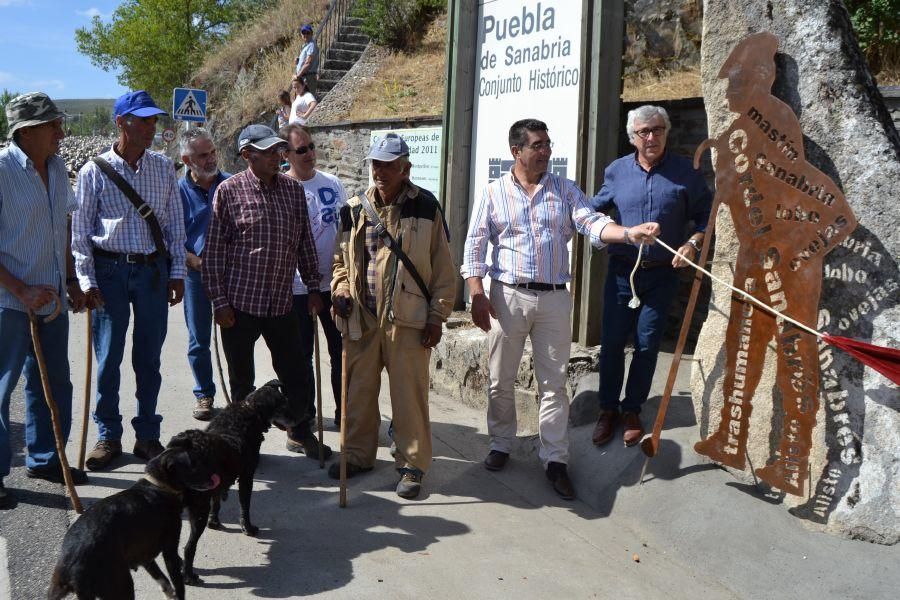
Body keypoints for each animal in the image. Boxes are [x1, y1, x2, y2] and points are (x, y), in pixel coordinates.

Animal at [47, 442, 221, 596]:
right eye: (193, 464)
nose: (215, 478)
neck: (158, 486)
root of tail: (73, 567)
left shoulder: (144, 554)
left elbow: (162, 579)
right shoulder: (169, 550)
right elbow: (178, 584)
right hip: (122, 585)